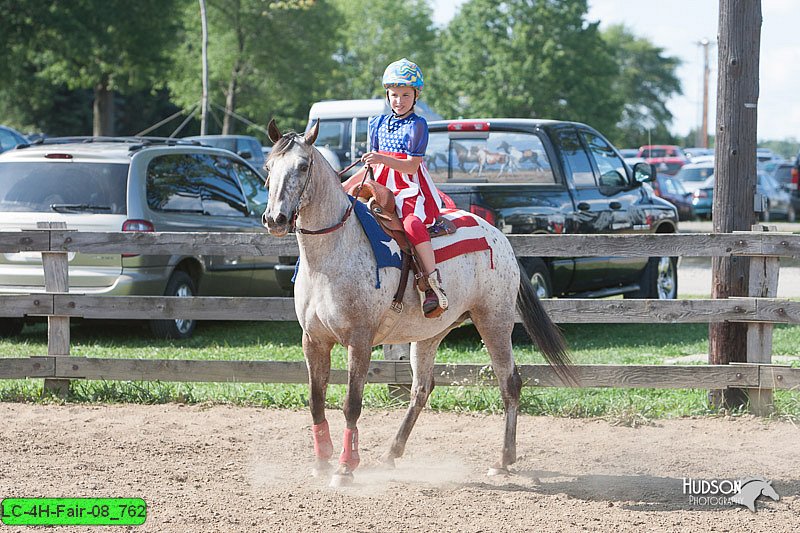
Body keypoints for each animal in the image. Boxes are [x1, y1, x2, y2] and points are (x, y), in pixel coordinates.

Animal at [262, 119, 576, 486]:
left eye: (302, 165)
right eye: (268, 166)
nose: (275, 219)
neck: (332, 254)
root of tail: (499, 238)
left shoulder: (360, 340)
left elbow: (352, 403)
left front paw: (344, 468)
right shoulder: (313, 340)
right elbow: (315, 400)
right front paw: (321, 462)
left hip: (494, 323)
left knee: (509, 382)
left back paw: (503, 461)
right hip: (430, 334)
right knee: (422, 388)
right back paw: (391, 453)